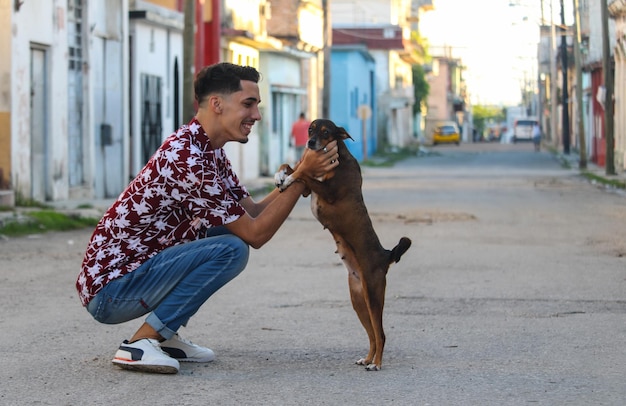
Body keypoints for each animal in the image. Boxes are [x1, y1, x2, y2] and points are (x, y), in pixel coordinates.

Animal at [272, 118, 410, 372]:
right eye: (310, 129)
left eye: (326, 132)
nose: (310, 142)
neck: (338, 156)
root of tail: (386, 255)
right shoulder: (308, 191)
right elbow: (291, 166)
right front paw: (280, 175)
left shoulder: (327, 191)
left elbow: (303, 173)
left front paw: (289, 177)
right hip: (358, 299)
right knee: (372, 334)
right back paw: (368, 358)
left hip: (373, 294)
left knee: (381, 334)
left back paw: (376, 364)